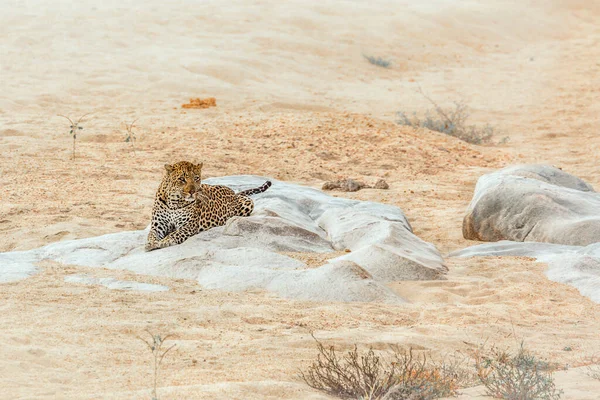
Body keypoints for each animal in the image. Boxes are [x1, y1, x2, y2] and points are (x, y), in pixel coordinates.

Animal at [146, 160, 274, 250]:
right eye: (182, 179)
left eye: (196, 178)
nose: (193, 191)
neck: (174, 202)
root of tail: (233, 192)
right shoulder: (158, 226)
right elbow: (151, 235)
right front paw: (151, 244)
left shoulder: (188, 225)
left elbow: (174, 234)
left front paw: (163, 242)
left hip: (248, 203)